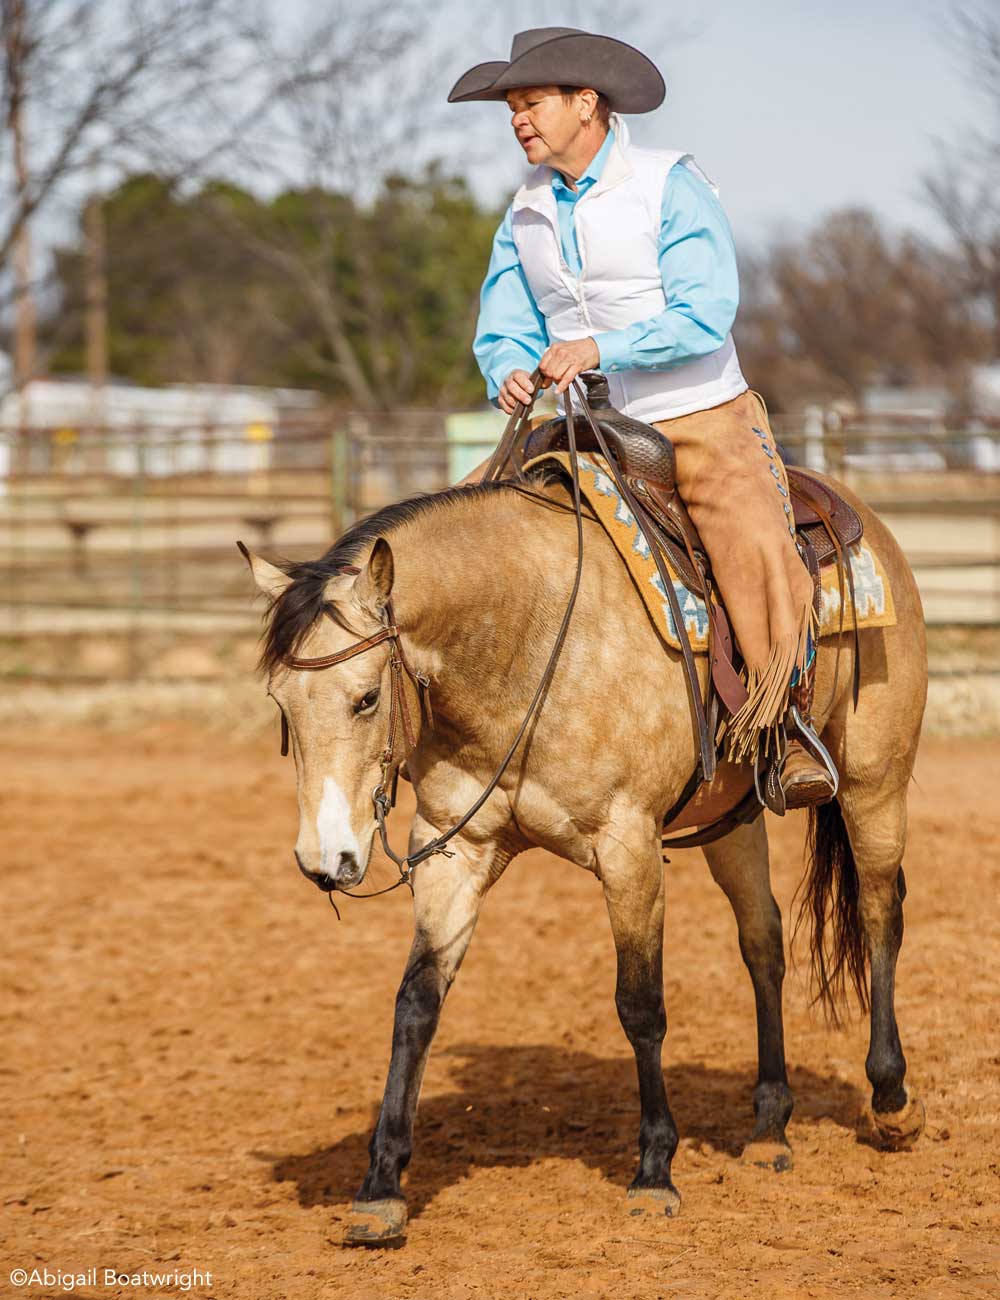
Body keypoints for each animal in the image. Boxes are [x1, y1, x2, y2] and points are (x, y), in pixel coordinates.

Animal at [237, 392, 925, 1237]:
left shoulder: (627, 846)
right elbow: (416, 1003)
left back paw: (891, 1099)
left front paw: (654, 1169)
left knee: (881, 912)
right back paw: (769, 1126)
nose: (324, 860)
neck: (525, 645)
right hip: (734, 816)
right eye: (280, 705)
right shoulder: (455, 850)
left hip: (874, 781)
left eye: (366, 698)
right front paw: (381, 1185)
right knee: (762, 939)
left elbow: (640, 1006)